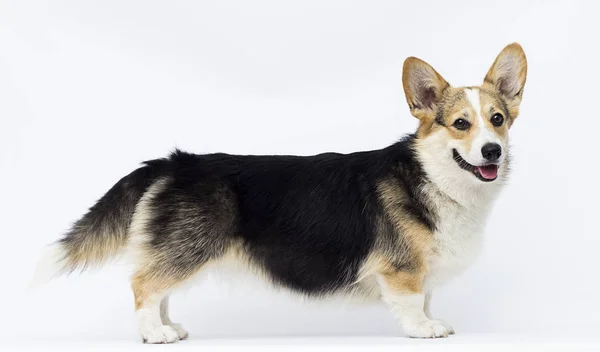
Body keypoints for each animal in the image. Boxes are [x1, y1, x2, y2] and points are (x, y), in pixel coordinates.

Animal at [32, 42, 528, 342]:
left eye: (498, 119)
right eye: (460, 124)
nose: (493, 151)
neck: (435, 176)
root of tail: (175, 162)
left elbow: (426, 294)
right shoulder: (401, 269)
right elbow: (412, 300)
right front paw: (424, 329)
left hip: (177, 247)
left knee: (158, 288)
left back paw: (168, 325)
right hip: (190, 246)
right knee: (142, 285)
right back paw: (155, 334)